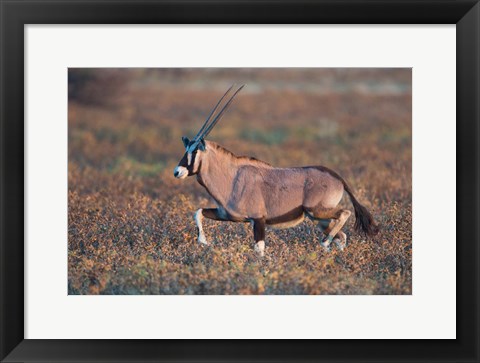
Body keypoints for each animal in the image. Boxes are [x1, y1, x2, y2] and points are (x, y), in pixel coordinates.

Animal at [173, 85, 378, 258]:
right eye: (186, 149)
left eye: (195, 151)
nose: (177, 172)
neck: (232, 178)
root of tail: (337, 178)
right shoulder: (227, 215)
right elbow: (198, 212)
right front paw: (203, 241)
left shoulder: (258, 220)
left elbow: (259, 249)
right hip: (321, 219)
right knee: (342, 236)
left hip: (318, 211)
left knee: (345, 214)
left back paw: (324, 244)